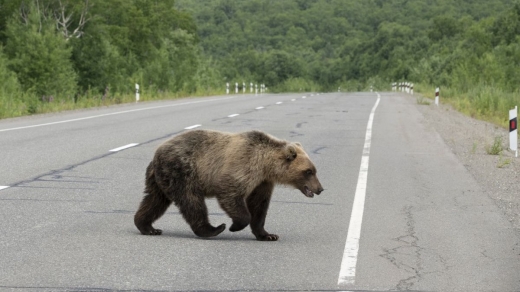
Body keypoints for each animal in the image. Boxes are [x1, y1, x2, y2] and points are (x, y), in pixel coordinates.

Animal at [133, 129, 320, 241]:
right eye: (308, 171)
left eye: (314, 170)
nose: (320, 189)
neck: (266, 165)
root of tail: (156, 153)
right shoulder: (243, 166)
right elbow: (230, 193)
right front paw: (234, 225)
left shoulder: (262, 182)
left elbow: (259, 206)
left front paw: (268, 235)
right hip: (182, 171)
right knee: (191, 201)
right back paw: (213, 229)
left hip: (161, 179)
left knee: (155, 200)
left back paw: (147, 227)